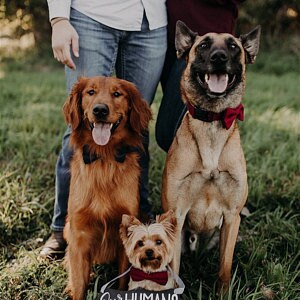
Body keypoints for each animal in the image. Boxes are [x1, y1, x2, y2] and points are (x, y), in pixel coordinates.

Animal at [162, 21, 260, 292]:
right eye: (204, 45)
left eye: (233, 46)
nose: (219, 57)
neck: (213, 121)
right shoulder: (176, 215)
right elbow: (173, 270)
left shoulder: (231, 218)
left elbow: (224, 267)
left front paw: (224, 292)